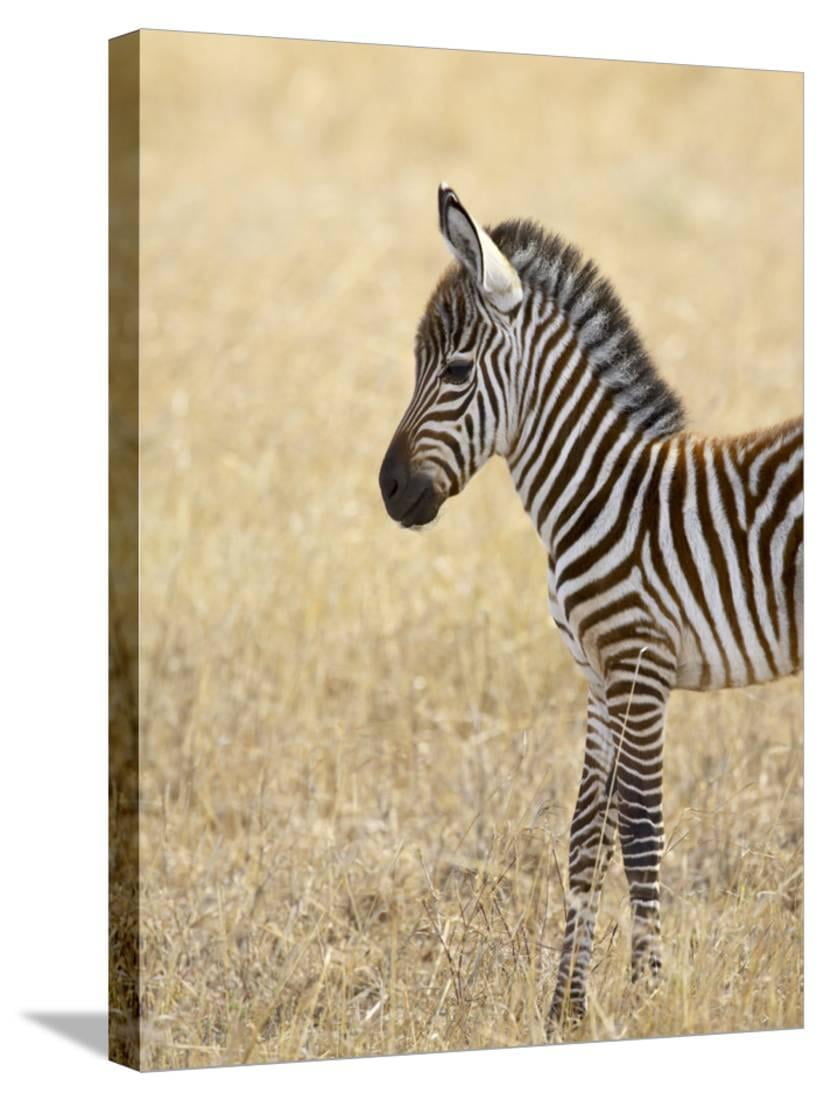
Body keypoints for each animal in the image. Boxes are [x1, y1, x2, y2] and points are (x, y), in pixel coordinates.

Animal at [378, 184, 803, 1029]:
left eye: (458, 369)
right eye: (416, 365)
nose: (388, 490)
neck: (597, 488)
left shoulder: (640, 664)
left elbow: (640, 831)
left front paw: (645, 996)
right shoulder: (601, 676)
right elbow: (585, 836)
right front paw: (565, 1009)